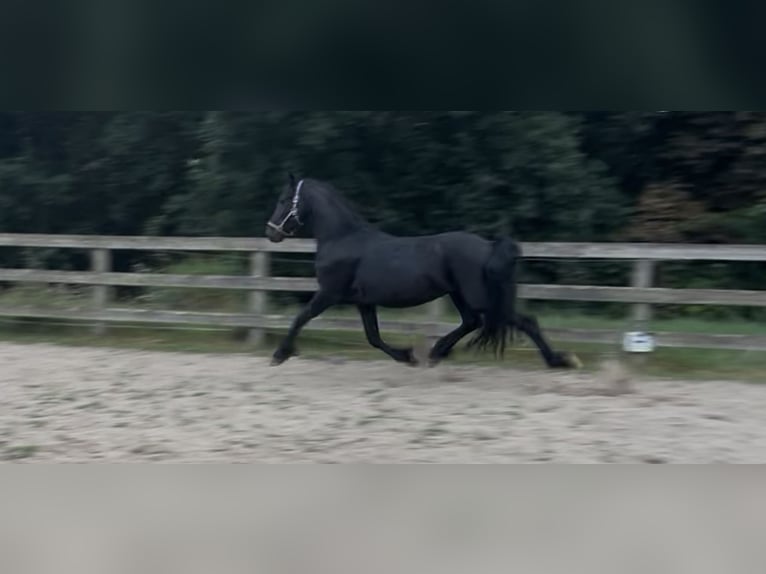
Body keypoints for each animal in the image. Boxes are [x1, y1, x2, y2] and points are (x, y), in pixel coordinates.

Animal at [265, 174, 582, 370]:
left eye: (283, 200)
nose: (271, 233)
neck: (343, 238)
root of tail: (489, 246)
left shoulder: (329, 294)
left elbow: (300, 318)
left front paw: (280, 355)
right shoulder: (364, 302)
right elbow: (373, 337)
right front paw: (407, 356)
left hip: (476, 296)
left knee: (521, 322)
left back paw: (560, 361)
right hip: (459, 295)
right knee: (473, 322)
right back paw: (437, 351)